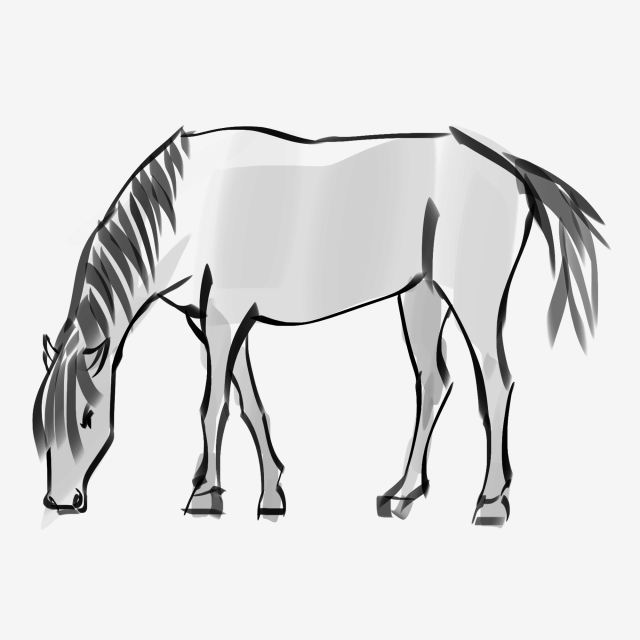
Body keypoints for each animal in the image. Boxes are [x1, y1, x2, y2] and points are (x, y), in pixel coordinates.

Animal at [33, 125, 607, 526]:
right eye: (40, 424)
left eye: (86, 417)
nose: (60, 501)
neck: (193, 205)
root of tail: (508, 164)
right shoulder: (216, 322)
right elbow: (249, 403)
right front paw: (271, 495)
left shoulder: (224, 318)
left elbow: (214, 405)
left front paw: (204, 495)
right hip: (421, 296)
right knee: (434, 381)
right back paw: (404, 492)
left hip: (474, 299)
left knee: (496, 382)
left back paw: (490, 502)